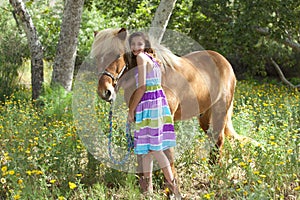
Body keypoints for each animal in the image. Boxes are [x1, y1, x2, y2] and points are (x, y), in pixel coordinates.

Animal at [91, 27, 253, 189]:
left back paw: (216, 178)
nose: (104, 91)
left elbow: (167, 152)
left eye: (116, 55)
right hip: (205, 116)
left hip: (220, 111)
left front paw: (170, 186)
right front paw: (145, 185)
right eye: (96, 57)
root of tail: (223, 61)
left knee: (218, 140)